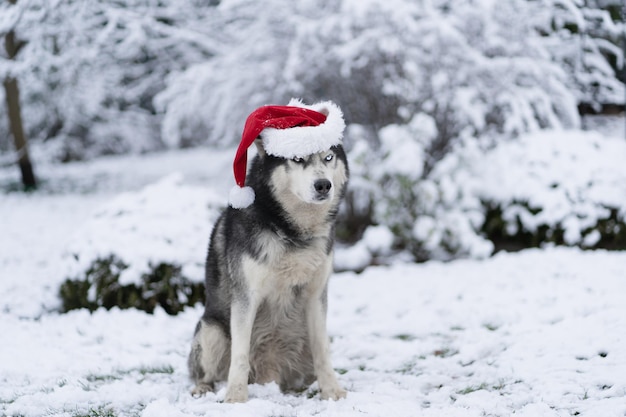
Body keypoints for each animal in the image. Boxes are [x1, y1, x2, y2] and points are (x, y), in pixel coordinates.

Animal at [188, 131, 348, 404]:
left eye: (328, 157)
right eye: (297, 158)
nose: (324, 185)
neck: (292, 231)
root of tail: (268, 375)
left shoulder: (316, 295)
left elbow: (323, 351)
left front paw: (332, 391)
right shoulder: (246, 297)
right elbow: (240, 355)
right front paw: (236, 397)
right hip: (212, 331)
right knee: (206, 372)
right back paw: (203, 388)